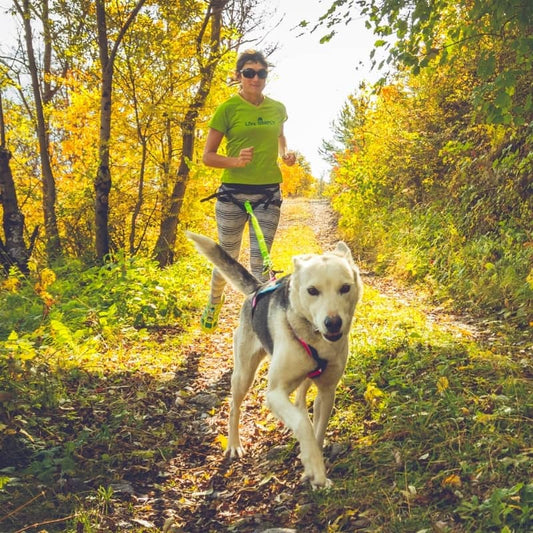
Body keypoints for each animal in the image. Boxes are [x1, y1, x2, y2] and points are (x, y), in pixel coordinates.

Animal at [187, 231, 362, 488]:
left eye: (345, 288)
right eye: (312, 291)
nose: (333, 323)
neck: (313, 337)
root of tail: (259, 287)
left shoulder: (327, 391)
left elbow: (317, 430)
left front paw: (313, 467)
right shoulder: (274, 393)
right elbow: (302, 424)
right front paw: (314, 467)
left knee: (300, 400)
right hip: (243, 375)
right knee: (234, 407)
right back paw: (234, 444)